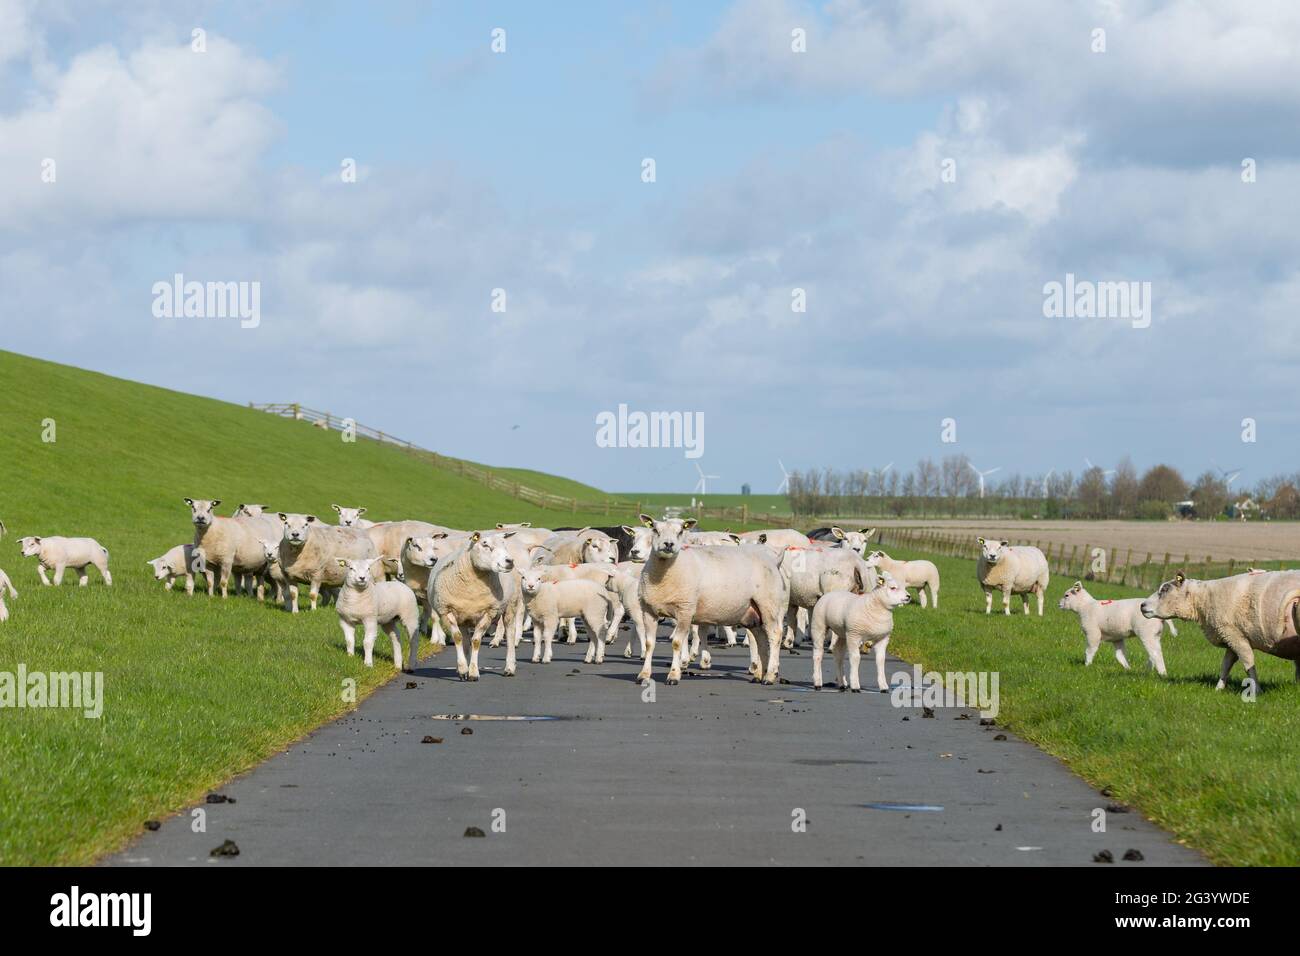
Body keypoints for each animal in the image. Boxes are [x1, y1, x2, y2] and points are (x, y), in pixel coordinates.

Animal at [431, 530, 522, 681]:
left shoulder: (488, 613)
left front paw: (473, 672)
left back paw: (509, 668)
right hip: (463, 617)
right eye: (485, 544)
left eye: (505, 545)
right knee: (464, 639)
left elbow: (476, 641)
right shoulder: (447, 610)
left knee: (510, 634)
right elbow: (458, 638)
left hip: (511, 605)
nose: (510, 561)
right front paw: (463, 669)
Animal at [634, 515, 785, 686]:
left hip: (769, 604)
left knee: (775, 635)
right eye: (655, 530)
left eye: (680, 532)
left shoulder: (685, 610)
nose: (668, 544)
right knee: (760, 639)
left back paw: (770, 676)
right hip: (752, 613)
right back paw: (760, 674)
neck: (663, 576)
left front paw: (673, 675)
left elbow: (677, 642)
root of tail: (772, 560)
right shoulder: (648, 610)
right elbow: (649, 643)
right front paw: (644, 675)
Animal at [1138, 567, 1300, 697]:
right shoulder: (1230, 638)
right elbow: (1226, 665)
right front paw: (1219, 688)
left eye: (1165, 590)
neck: (1204, 598)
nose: (1142, 605)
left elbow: (1248, 662)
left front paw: (1256, 690)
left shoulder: (1235, 635)